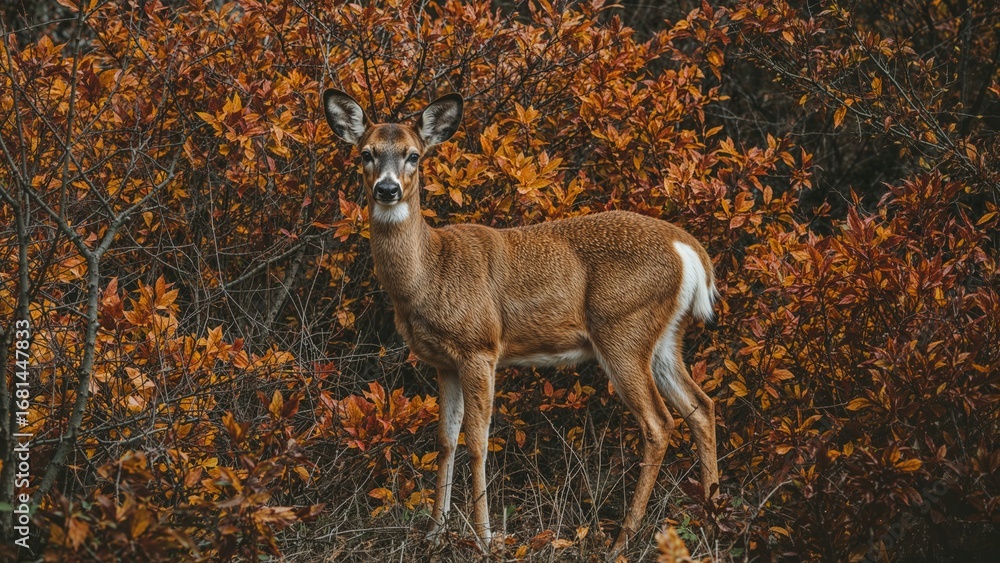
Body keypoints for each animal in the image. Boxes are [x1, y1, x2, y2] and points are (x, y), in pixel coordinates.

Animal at [323, 89, 719, 553]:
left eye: (414, 155)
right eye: (366, 153)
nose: (387, 189)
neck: (429, 274)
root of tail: (688, 249)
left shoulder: (480, 347)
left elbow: (477, 441)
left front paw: (484, 537)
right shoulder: (443, 362)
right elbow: (445, 440)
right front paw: (435, 533)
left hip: (623, 328)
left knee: (659, 423)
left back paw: (622, 541)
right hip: (664, 338)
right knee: (701, 406)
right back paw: (711, 522)